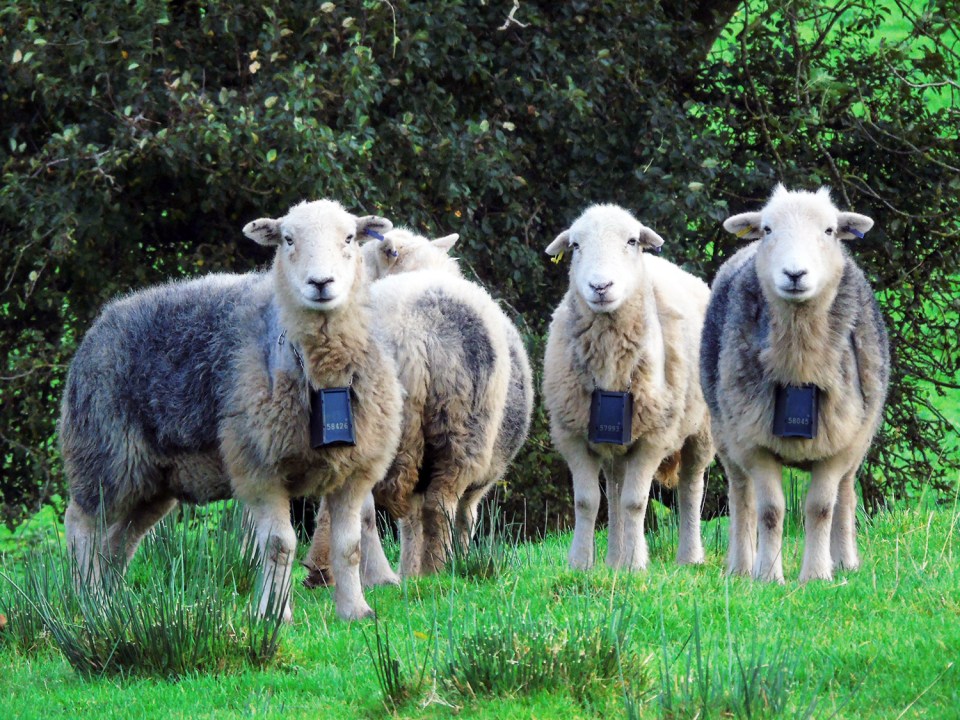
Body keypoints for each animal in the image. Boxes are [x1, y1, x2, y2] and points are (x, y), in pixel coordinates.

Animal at [57, 200, 402, 620]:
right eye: (288, 239)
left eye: (350, 237)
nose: (321, 283)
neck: (320, 372)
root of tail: (99, 323)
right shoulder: (259, 468)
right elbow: (280, 545)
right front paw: (273, 615)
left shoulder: (354, 473)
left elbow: (349, 546)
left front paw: (356, 611)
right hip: (104, 455)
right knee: (82, 527)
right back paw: (88, 604)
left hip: (154, 479)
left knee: (119, 540)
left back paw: (109, 605)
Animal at [306, 228, 536, 584]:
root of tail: (412, 331)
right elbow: (461, 518)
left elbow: (411, 521)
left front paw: (410, 571)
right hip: (462, 427)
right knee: (439, 504)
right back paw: (435, 569)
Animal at [540, 205, 712, 572]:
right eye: (575, 245)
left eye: (632, 241)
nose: (600, 285)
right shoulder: (572, 435)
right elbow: (587, 501)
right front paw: (581, 563)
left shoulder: (654, 437)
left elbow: (635, 501)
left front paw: (635, 563)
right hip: (614, 444)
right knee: (615, 489)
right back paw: (613, 560)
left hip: (702, 429)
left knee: (691, 486)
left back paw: (689, 557)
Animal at [696, 183, 892, 584]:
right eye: (768, 229)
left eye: (829, 230)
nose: (795, 273)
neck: (799, 367)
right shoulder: (754, 443)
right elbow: (770, 510)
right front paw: (769, 576)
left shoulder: (838, 444)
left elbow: (820, 508)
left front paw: (817, 575)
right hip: (726, 435)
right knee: (742, 498)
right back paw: (741, 567)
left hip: (858, 438)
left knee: (845, 495)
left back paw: (845, 561)